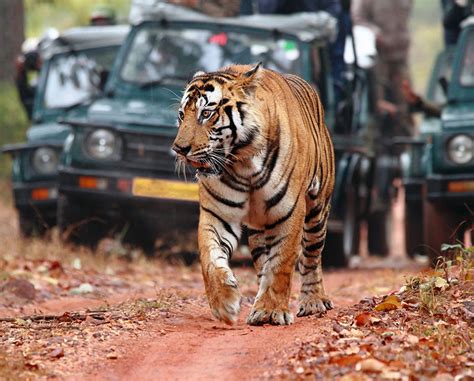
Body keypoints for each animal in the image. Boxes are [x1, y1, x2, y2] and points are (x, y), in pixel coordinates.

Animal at [172, 63, 336, 326]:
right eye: (181, 115)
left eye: (206, 114)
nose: (179, 149)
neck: (243, 163)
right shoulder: (217, 214)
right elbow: (210, 259)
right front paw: (224, 303)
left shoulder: (289, 212)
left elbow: (281, 263)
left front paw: (272, 310)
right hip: (260, 229)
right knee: (263, 262)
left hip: (317, 211)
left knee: (312, 256)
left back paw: (313, 301)